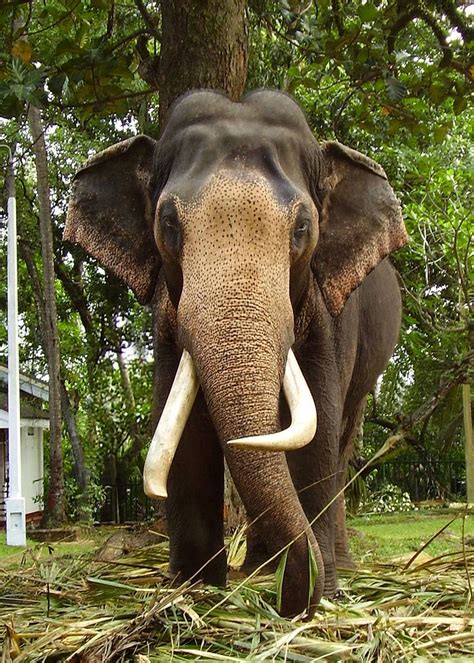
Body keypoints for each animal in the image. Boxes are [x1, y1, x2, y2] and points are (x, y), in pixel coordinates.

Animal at [65, 91, 410, 620]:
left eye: (303, 227)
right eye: (168, 223)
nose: (294, 600)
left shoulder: (328, 312)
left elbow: (316, 433)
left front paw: (322, 595)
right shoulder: (167, 315)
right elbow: (183, 432)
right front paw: (191, 591)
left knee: (343, 438)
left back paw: (334, 568)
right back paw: (260, 570)